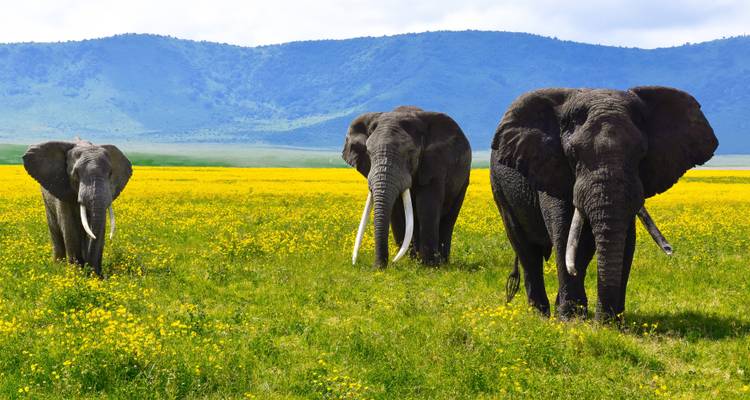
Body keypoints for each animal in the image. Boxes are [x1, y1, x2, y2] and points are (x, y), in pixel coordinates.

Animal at [23, 140, 132, 277]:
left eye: (110, 173)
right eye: (76, 174)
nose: (90, 271)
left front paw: (96, 276)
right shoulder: (62, 188)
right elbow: (69, 227)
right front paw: (76, 274)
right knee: (55, 229)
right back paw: (58, 266)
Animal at [343, 106, 472, 267]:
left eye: (410, 153)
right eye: (369, 153)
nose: (377, 267)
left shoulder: (435, 165)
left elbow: (427, 206)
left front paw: (429, 266)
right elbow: (397, 212)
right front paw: (409, 263)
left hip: (464, 181)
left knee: (449, 218)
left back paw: (443, 262)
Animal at [490, 86, 718, 322]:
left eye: (641, 153)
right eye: (573, 154)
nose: (601, 322)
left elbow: (626, 240)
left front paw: (609, 323)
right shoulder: (550, 167)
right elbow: (564, 232)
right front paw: (570, 321)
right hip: (500, 189)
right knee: (526, 250)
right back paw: (541, 316)